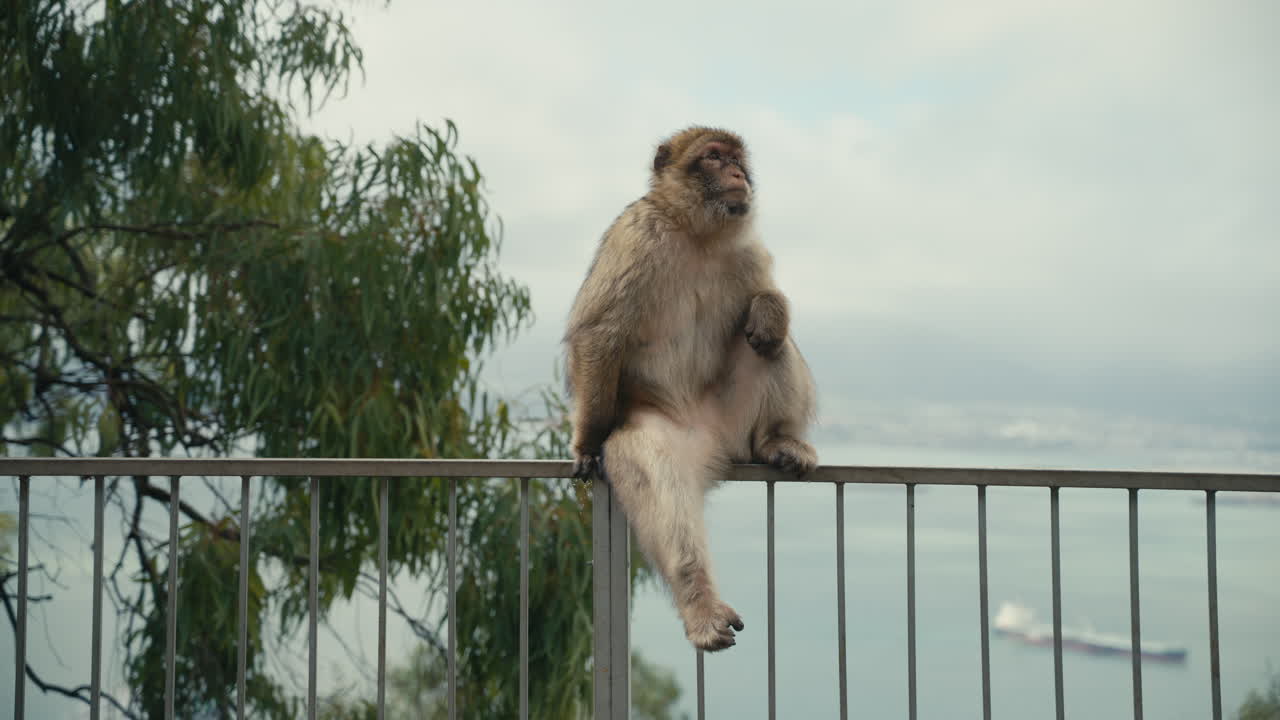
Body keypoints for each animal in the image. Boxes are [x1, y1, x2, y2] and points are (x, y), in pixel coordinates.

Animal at [564, 126, 818, 652]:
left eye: (738, 158)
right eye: (714, 157)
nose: (737, 172)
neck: (698, 233)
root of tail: (718, 446)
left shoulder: (747, 250)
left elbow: (766, 298)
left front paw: (770, 308)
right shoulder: (635, 235)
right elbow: (599, 333)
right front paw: (587, 443)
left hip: (736, 425)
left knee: (768, 345)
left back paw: (778, 439)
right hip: (671, 433)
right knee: (655, 473)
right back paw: (699, 603)